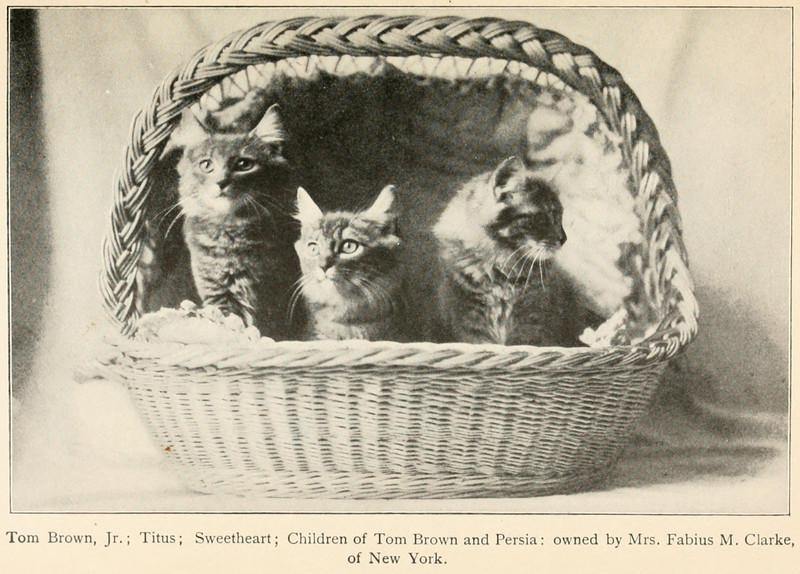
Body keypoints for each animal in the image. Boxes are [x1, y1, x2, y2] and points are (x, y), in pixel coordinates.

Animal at [173, 103, 301, 339]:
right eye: (206, 165)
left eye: (244, 164)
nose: (221, 182)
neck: (231, 231)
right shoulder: (218, 292)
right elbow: (229, 322)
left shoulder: (279, 296)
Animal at [431, 155, 588, 346]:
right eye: (541, 218)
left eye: (558, 216)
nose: (563, 239)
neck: (501, 267)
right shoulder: (470, 322)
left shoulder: (531, 322)